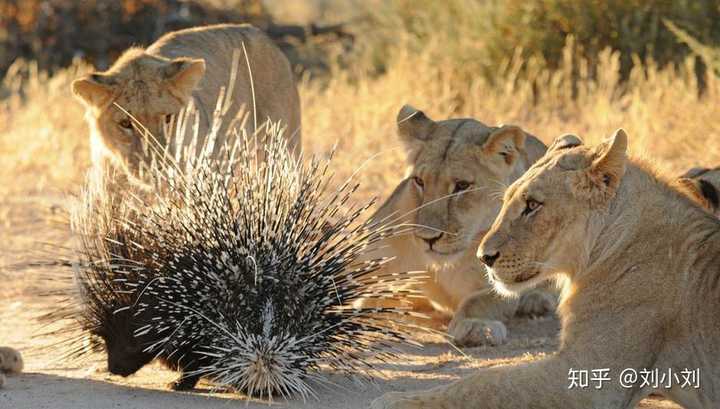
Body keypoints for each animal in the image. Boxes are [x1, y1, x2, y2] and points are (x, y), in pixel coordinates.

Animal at [366, 105, 556, 344]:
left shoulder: (499, 281)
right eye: (419, 181)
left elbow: (479, 301)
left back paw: (536, 300)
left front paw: (476, 327)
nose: (428, 239)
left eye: (462, 185)